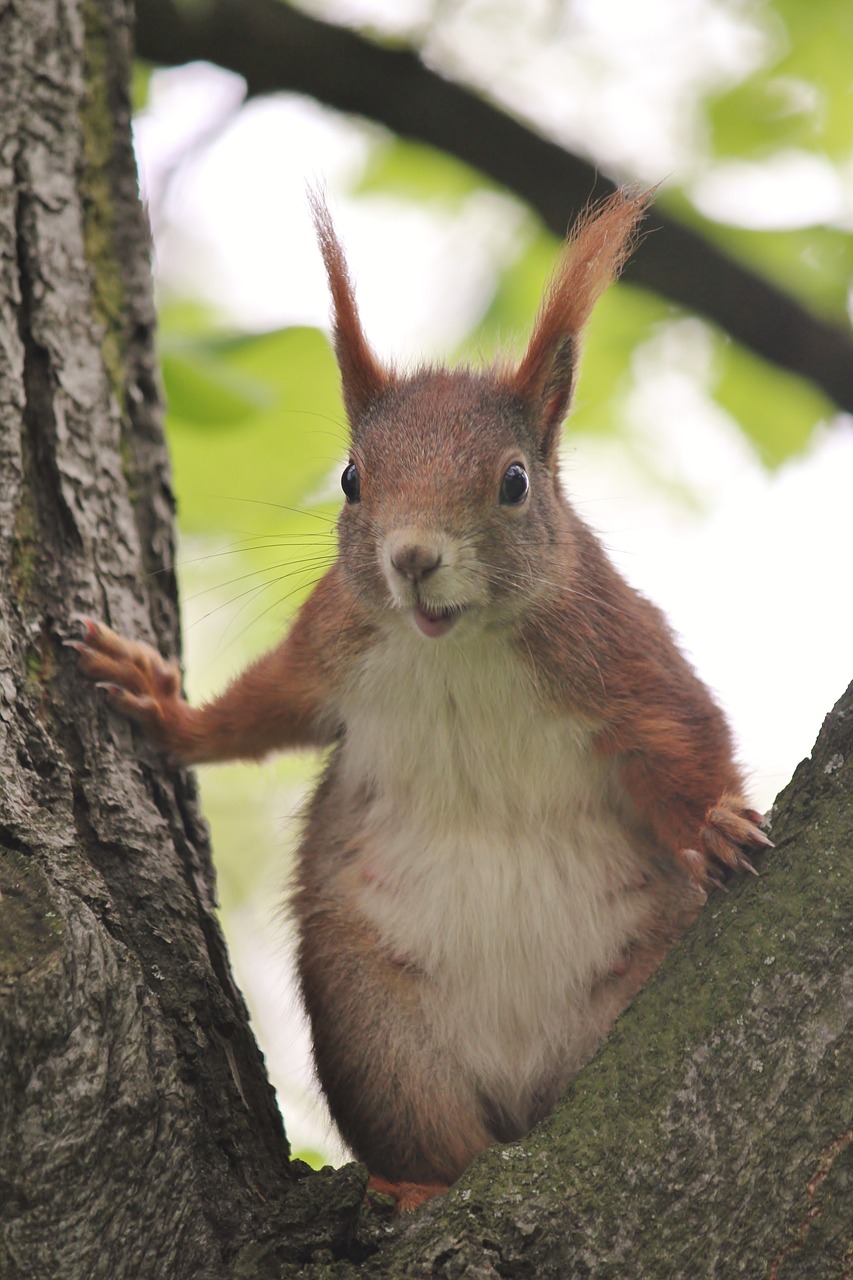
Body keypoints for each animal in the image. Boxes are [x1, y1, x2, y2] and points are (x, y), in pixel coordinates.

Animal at [73, 189, 768, 1208]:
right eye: (351, 478)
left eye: (514, 481)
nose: (411, 558)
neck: (456, 650)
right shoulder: (331, 644)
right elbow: (260, 711)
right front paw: (162, 707)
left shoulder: (618, 650)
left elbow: (683, 733)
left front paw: (717, 822)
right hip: (375, 1029)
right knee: (429, 1133)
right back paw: (412, 1189)